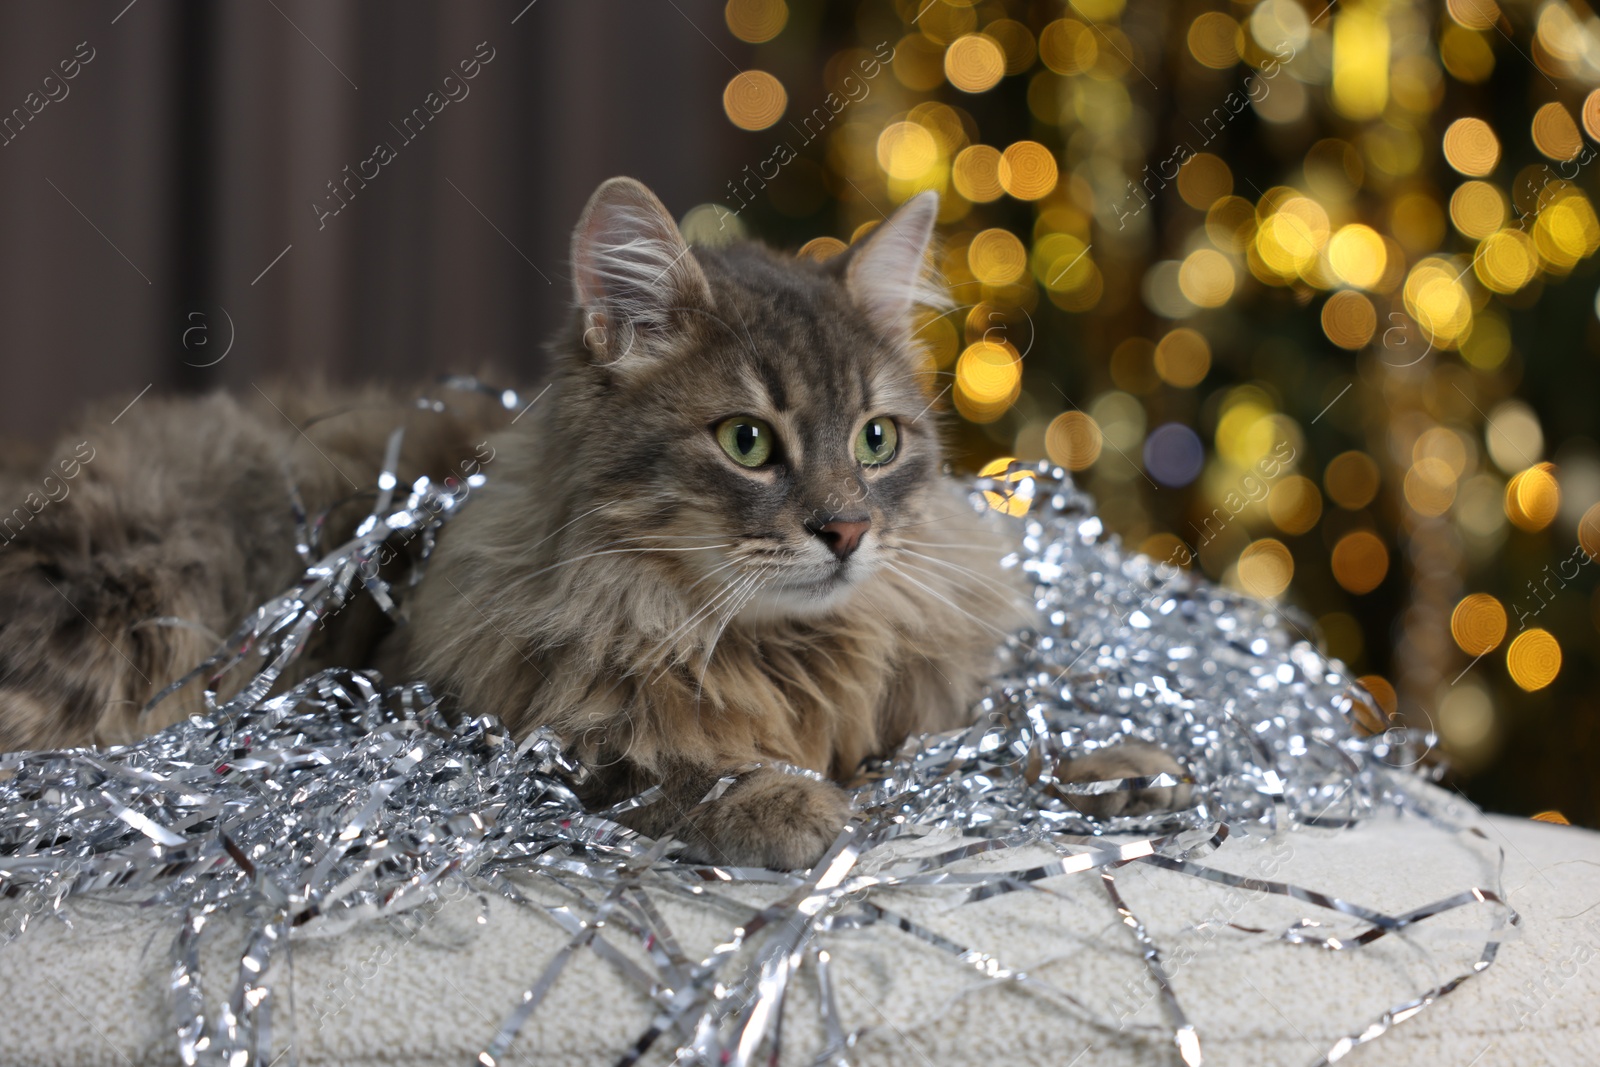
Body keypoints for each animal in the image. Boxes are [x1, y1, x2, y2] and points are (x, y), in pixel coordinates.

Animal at [0, 179, 1184, 870]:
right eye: (747, 441)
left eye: (878, 439)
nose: (847, 531)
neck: (774, 648)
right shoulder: (449, 719)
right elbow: (651, 760)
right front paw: (781, 800)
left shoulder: (910, 698)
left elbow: (992, 731)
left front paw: (1117, 765)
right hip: (153, 605)